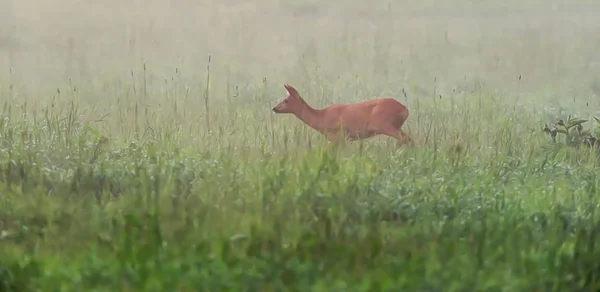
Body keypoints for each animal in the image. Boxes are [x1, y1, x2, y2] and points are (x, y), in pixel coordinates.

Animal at [274, 84, 410, 148]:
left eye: (286, 100)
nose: (274, 108)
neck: (321, 118)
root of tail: (404, 108)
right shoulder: (341, 139)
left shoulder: (338, 135)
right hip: (395, 125)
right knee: (409, 138)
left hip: (383, 124)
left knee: (404, 138)